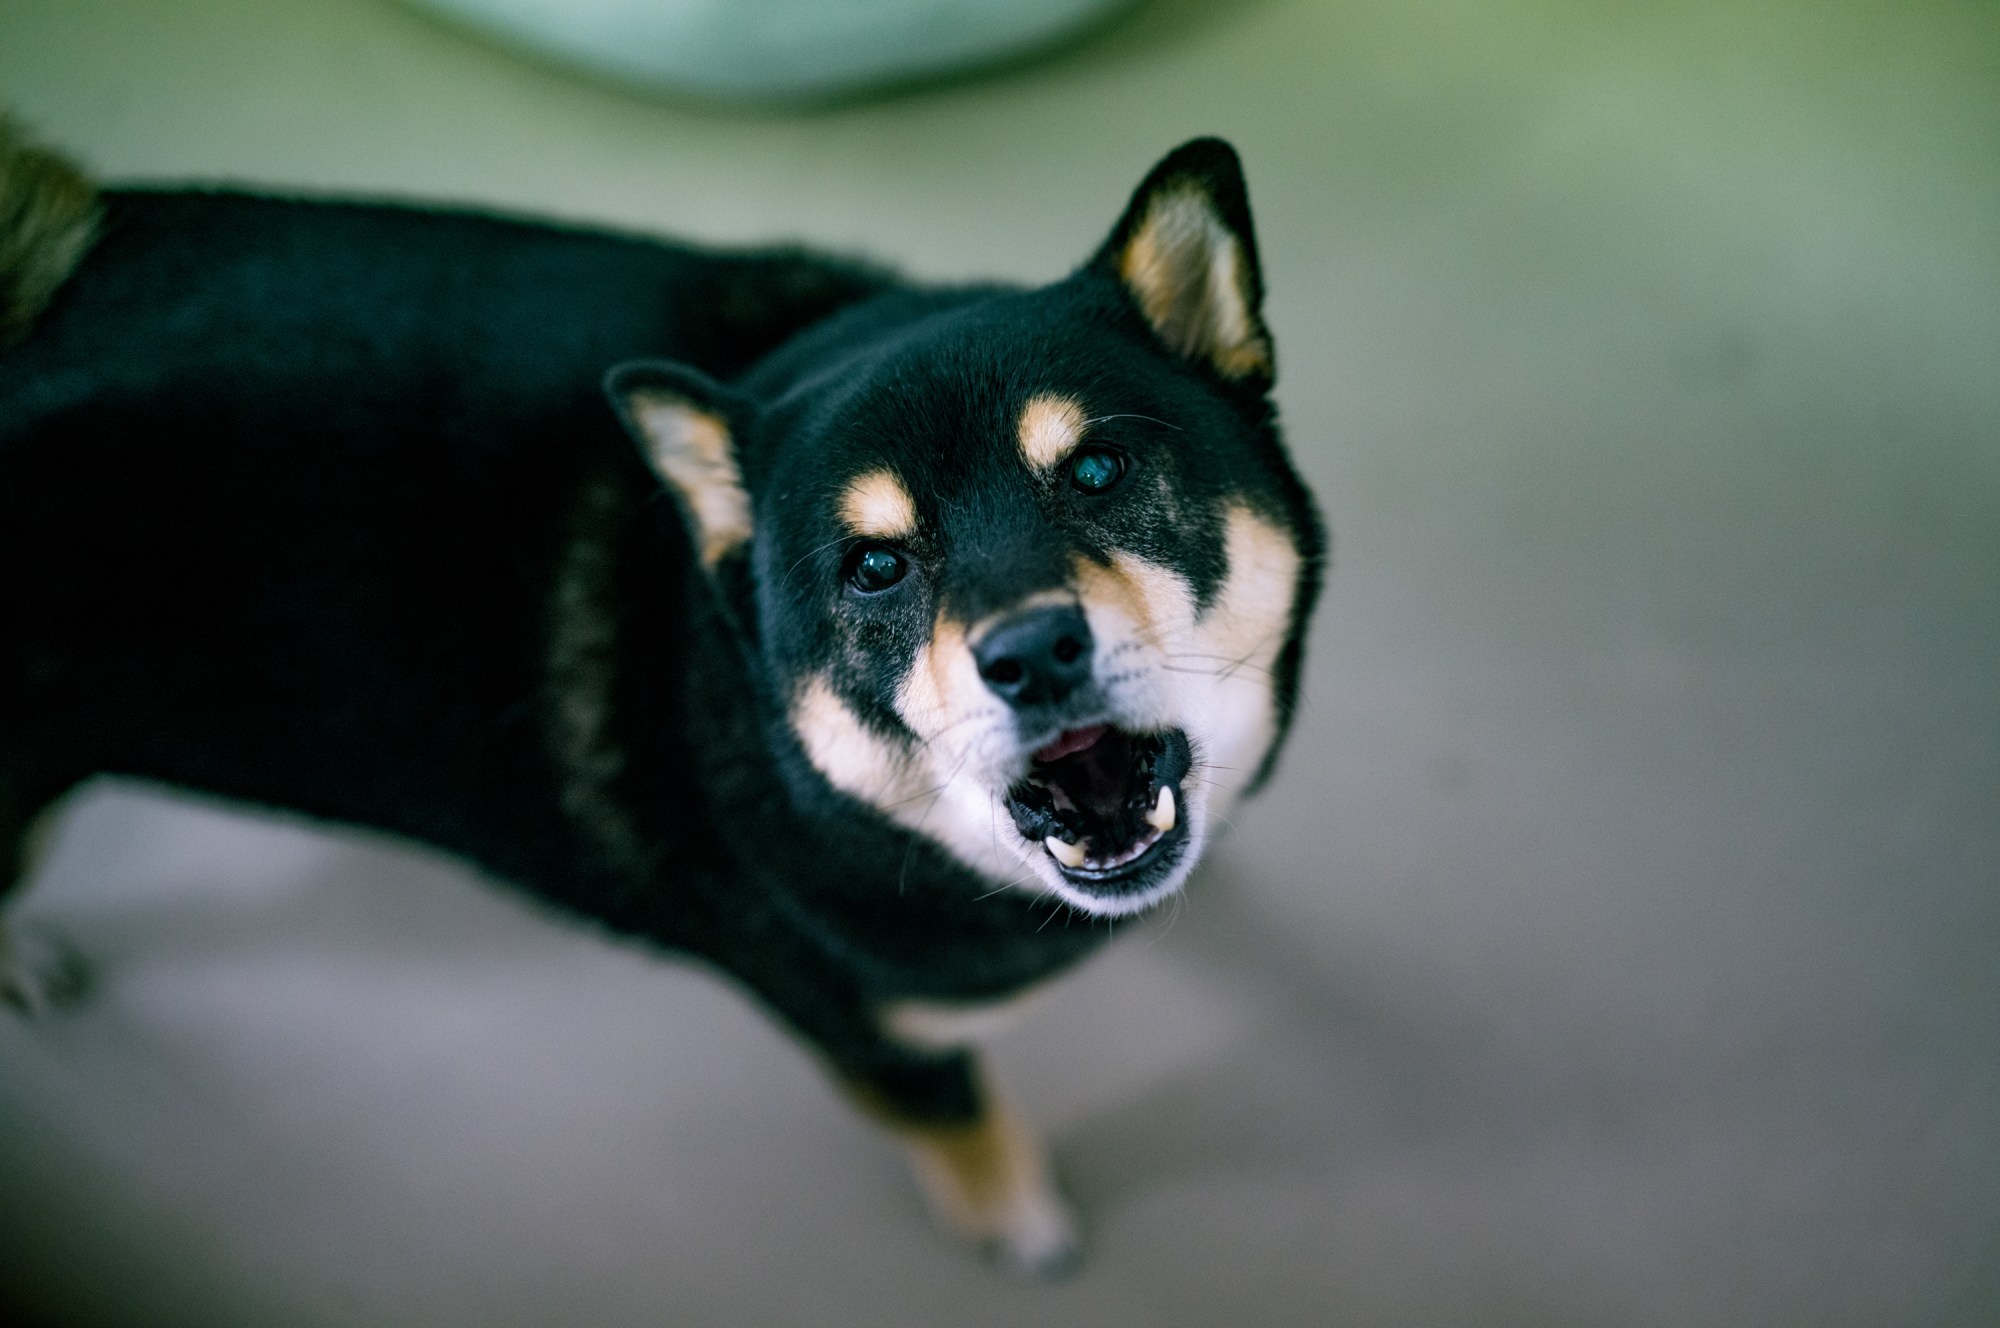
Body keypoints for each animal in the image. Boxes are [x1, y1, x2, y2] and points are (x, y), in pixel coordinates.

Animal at [7, 124, 1336, 1280]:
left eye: (1098, 468)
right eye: (874, 566)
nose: (1031, 652)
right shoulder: (865, 1035)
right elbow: (960, 1122)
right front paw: (1014, 1219)